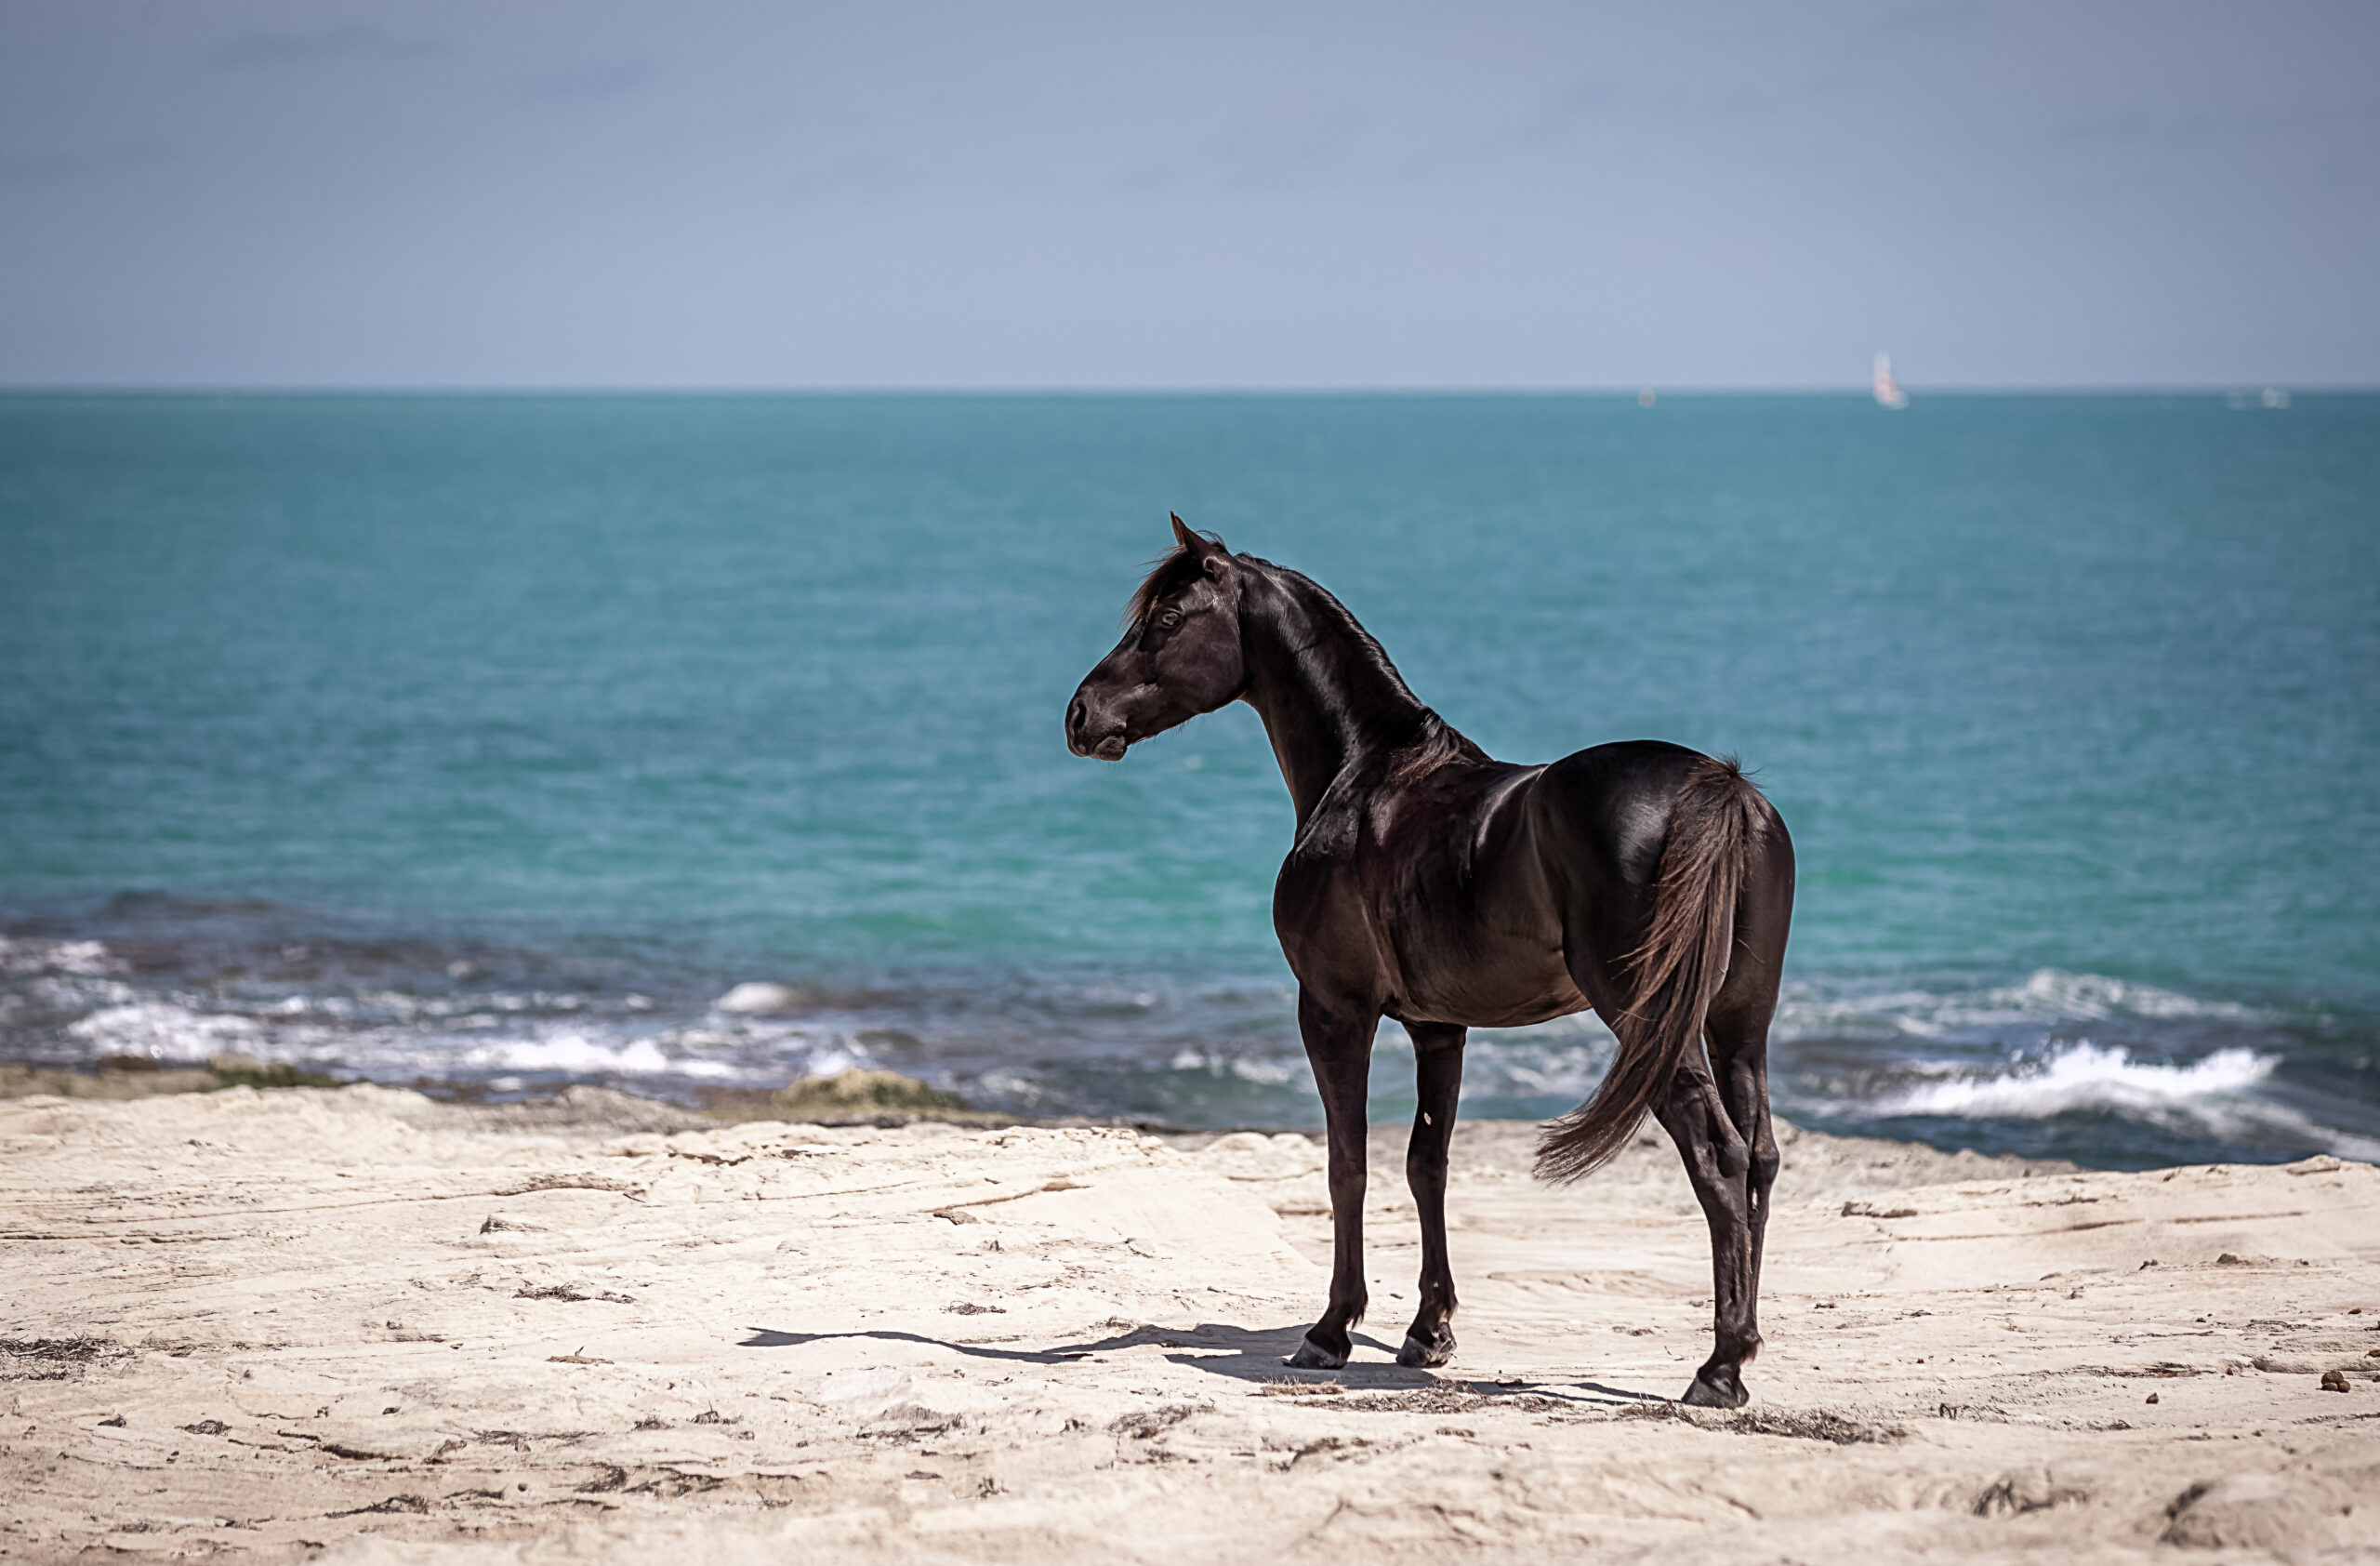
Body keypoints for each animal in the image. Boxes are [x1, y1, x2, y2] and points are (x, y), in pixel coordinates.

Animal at [1071, 511, 1790, 1399]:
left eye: (1167, 621)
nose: (1080, 715)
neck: (1366, 777)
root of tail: (1718, 787)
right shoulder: (1438, 1028)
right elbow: (1426, 1164)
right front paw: (1429, 1330)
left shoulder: (1334, 1012)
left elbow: (1349, 1164)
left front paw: (1331, 1330)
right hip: (1739, 1021)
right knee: (1760, 1158)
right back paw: (1744, 1347)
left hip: (1652, 1021)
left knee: (1719, 1157)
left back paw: (1718, 1369)